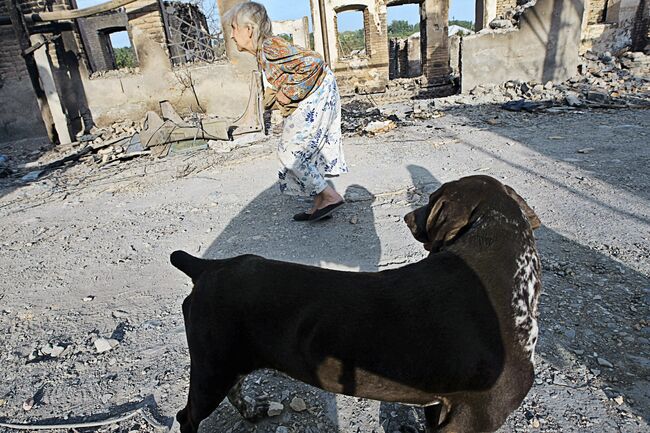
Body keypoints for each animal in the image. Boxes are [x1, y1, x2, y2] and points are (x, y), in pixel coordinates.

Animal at [170, 175, 540, 432]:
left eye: (433, 201)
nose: (408, 217)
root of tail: (209, 267)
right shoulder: (473, 419)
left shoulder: (442, 408)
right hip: (211, 368)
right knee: (186, 417)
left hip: (228, 363)